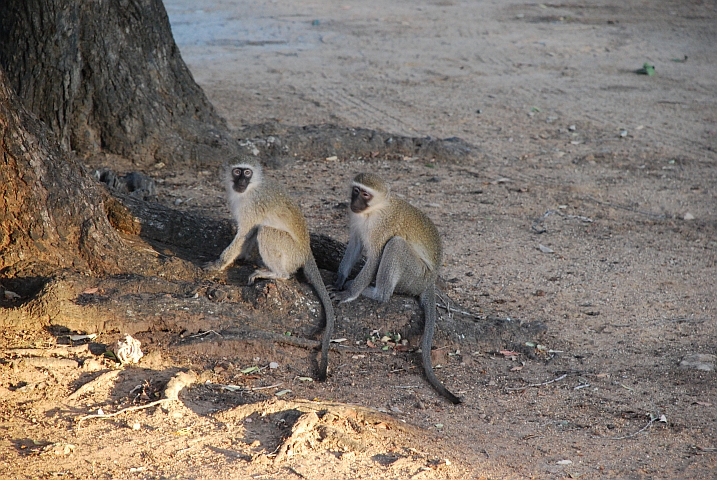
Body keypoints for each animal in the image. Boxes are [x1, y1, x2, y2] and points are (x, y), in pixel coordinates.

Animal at [204, 161, 332, 378]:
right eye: (236, 171)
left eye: (247, 172)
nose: (241, 181)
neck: (250, 189)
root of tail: (306, 251)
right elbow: (247, 235)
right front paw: (241, 258)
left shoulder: (252, 207)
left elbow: (244, 233)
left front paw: (218, 264)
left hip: (290, 252)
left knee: (265, 231)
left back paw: (277, 274)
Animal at [332, 172, 462, 404]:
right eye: (356, 190)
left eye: (366, 194)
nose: (354, 203)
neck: (373, 211)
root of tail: (430, 281)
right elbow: (355, 243)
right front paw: (340, 278)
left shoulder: (381, 227)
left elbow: (375, 256)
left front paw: (348, 293)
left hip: (415, 276)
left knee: (395, 245)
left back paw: (377, 293)